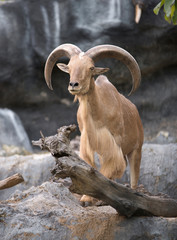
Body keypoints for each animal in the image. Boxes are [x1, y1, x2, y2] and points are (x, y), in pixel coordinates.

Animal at [44, 44, 144, 203]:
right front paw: (88, 197)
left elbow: (109, 169)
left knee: (134, 177)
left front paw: (89, 198)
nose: (73, 84)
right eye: (70, 67)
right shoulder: (88, 144)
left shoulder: (114, 145)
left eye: (90, 68)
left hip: (136, 149)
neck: (98, 114)